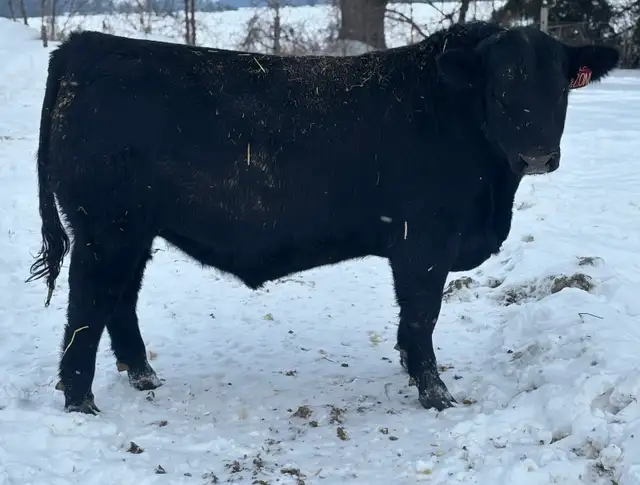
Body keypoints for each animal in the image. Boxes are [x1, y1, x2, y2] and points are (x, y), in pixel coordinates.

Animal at [27, 21, 619, 414]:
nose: (537, 155)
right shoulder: (424, 241)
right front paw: (436, 393)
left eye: (561, 87)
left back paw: (143, 374)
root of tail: (83, 44)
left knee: (120, 298)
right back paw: (80, 400)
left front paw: (408, 367)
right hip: (106, 227)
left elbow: (412, 321)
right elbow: (422, 314)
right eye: (500, 87)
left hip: (134, 228)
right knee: (88, 305)